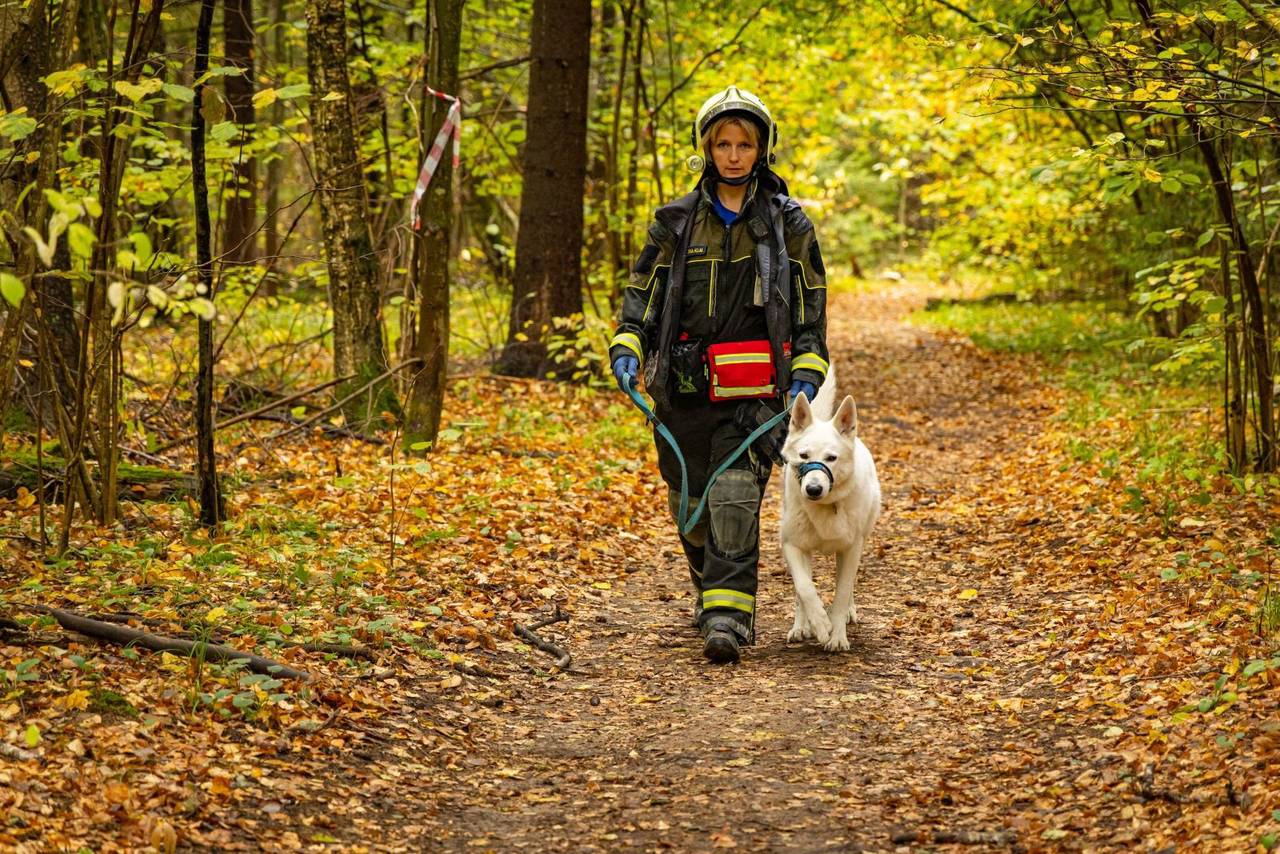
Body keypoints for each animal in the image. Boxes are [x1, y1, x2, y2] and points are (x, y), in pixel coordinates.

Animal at [778, 363, 880, 650]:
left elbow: (842, 591)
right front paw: (820, 624)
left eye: (831, 458)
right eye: (804, 456)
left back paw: (846, 615)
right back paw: (801, 627)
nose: (813, 489)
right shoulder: (792, 544)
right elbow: (804, 588)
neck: (825, 506)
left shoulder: (851, 548)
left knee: (848, 586)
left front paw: (836, 635)